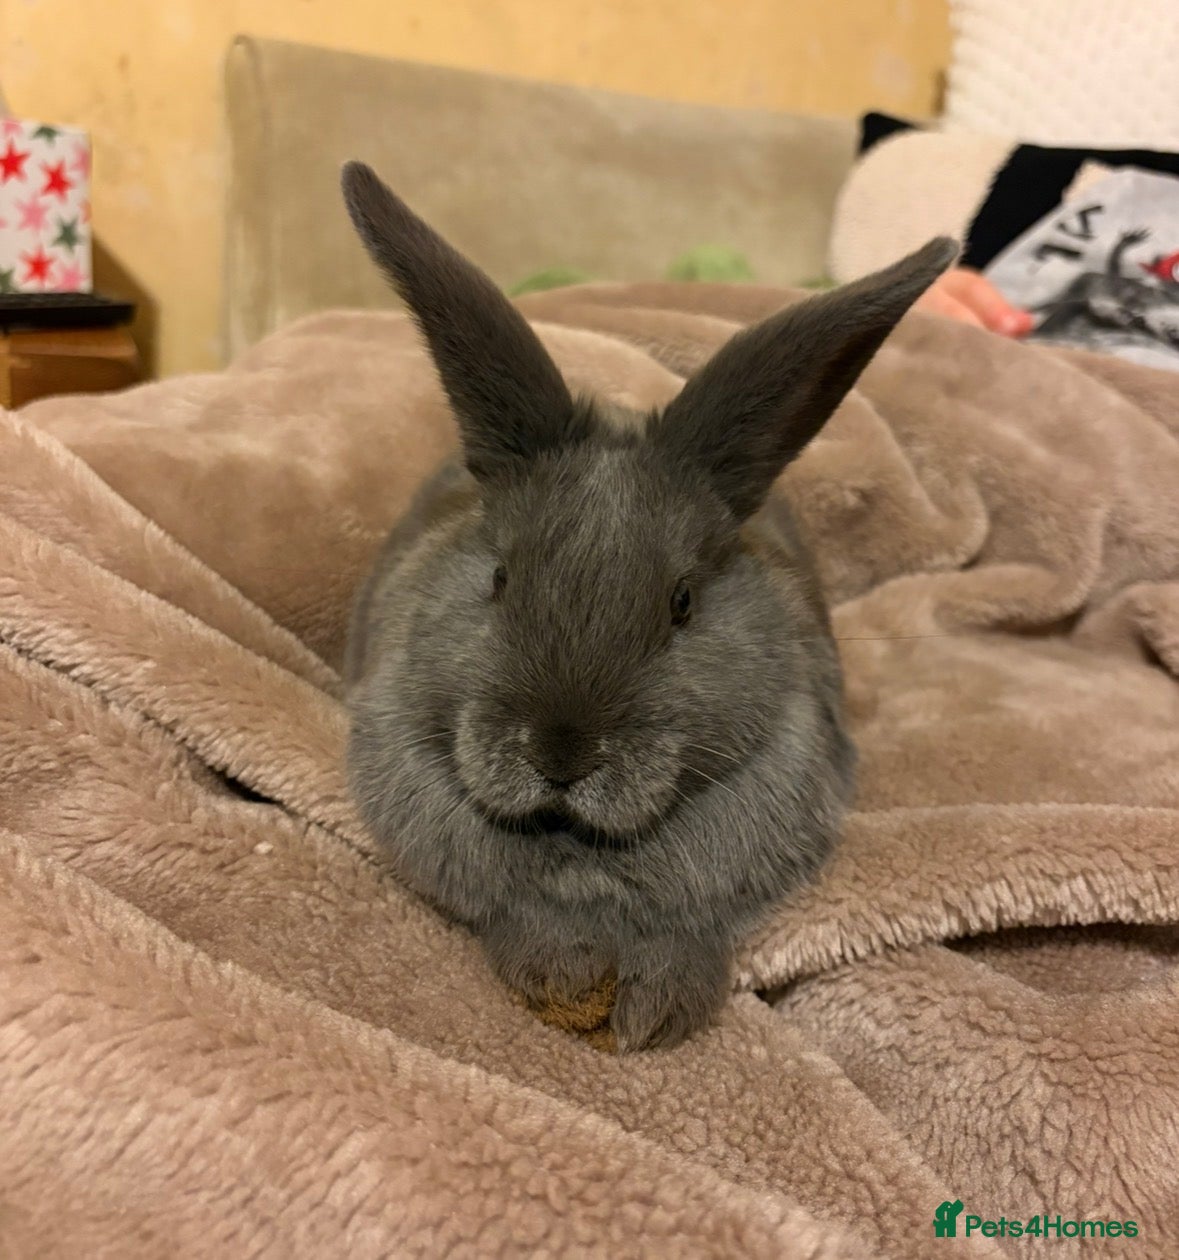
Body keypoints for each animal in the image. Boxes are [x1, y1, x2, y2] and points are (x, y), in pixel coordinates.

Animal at [340, 160, 956, 1051]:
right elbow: (525, 923)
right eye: (499, 578)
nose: (559, 754)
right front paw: (566, 989)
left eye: (683, 602)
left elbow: (683, 940)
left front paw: (651, 1018)